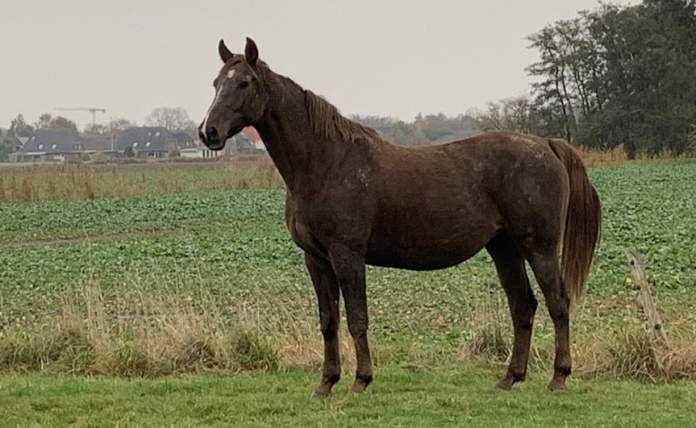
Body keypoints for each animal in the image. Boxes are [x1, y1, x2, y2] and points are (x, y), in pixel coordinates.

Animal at [198, 37, 601, 395]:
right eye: (216, 83)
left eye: (244, 82)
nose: (208, 132)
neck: (325, 163)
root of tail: (546, 144)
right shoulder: (316, 259)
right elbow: (329, 321)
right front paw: (326, 382)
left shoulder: (347, 255)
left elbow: (357, 318)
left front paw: (361, 381)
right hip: (504, 248)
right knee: (523, 305)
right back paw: (510, 378)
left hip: (540, 247)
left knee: (557, 303)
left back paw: (559, 377)